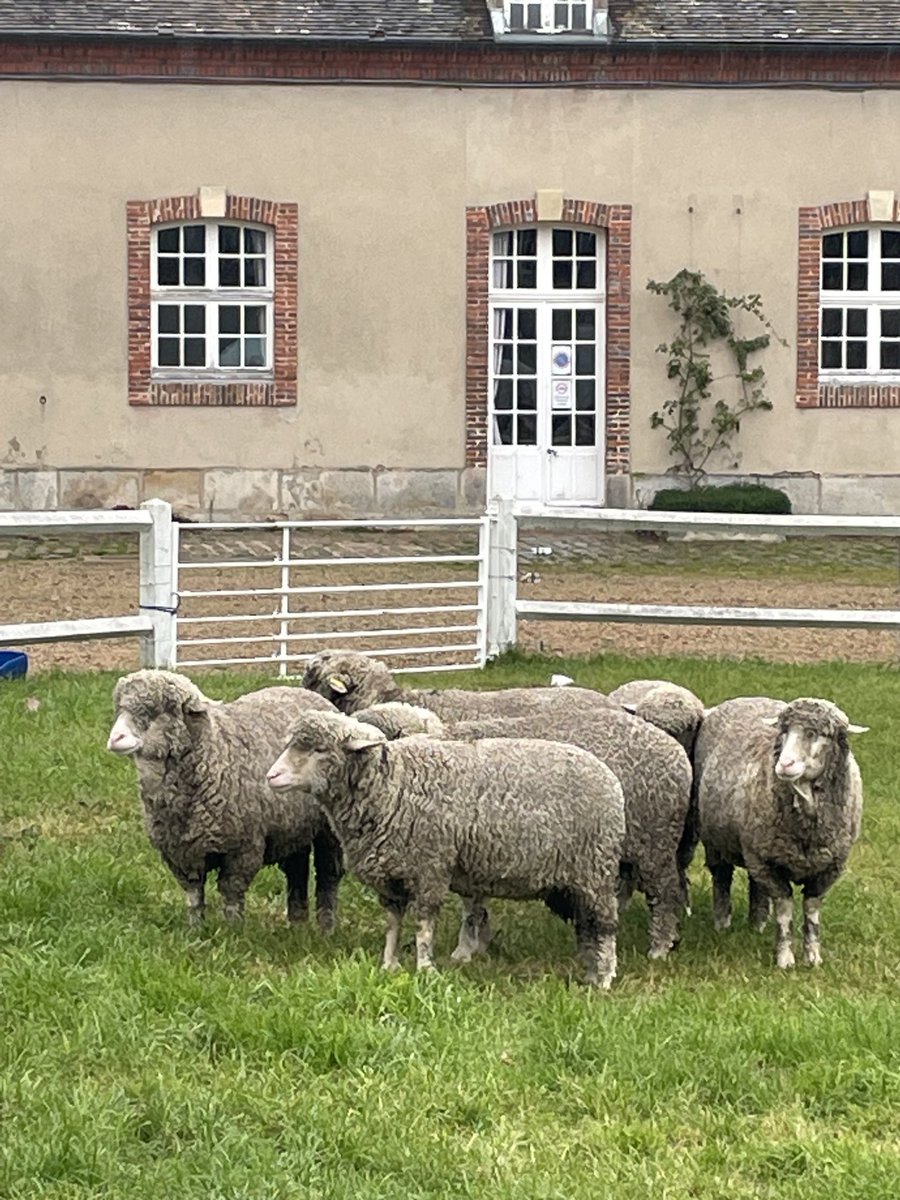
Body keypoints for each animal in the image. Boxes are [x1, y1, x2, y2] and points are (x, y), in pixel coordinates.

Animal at [107, 669, 344, 930]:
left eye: (154, 710)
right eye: (120, 708)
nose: (115, 738)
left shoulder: (243, 848)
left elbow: (231, 892)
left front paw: (233, 930)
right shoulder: (180, 853)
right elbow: (194, 895)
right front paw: (195, 930)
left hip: (328, 830)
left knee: (328, 874)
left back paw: (326, 926)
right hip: (293, 825)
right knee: (297, 870)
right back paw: (297, 924)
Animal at [266, 710, 626, 988]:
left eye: (318, 749)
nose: (271, 776)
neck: (391, 784)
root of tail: (610, 779)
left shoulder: (430, 867)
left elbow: (424, 925)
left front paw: (425, 969)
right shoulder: (392, 874)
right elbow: (393, 923)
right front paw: (388, 964)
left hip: (595, 869)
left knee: (605, 924)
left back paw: (605, 978)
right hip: (579, 878)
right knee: (588, 924)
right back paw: (591, 972)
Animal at [354, 698, 693, 960]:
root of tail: (677, 753)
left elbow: (469, 904)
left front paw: (465, 949)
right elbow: (474, 900)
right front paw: (476, 944)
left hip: (654, 841)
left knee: (666, 892)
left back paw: (659, 948)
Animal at [696, 696, 867, 968]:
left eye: (815, 733)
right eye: (784, 732)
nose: (784, 765)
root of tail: (746, 697)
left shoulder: (829, 866)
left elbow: (811, 910)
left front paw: (813, 957)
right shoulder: (767, 860)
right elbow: (785, 910)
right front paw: (785, 958)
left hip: (756, 852)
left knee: (755, 884)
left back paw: (757, 924)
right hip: (720, 842)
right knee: (721, 878)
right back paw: (723, 923)